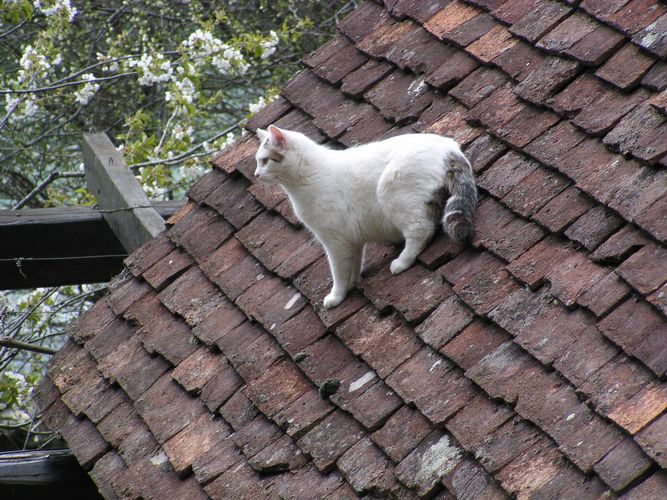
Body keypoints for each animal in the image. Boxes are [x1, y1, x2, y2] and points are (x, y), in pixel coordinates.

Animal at [253, 125, 478, 308]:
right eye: (257, 162)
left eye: (264, 161)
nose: (256, 174)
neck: (306, 179)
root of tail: (449, 148)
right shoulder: (352, 240)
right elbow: (353, 264)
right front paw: (352, 282)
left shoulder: (334, 242)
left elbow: (338, 273)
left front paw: (337, 296)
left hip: (390, 190)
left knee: (422, 230)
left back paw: (402, 262)